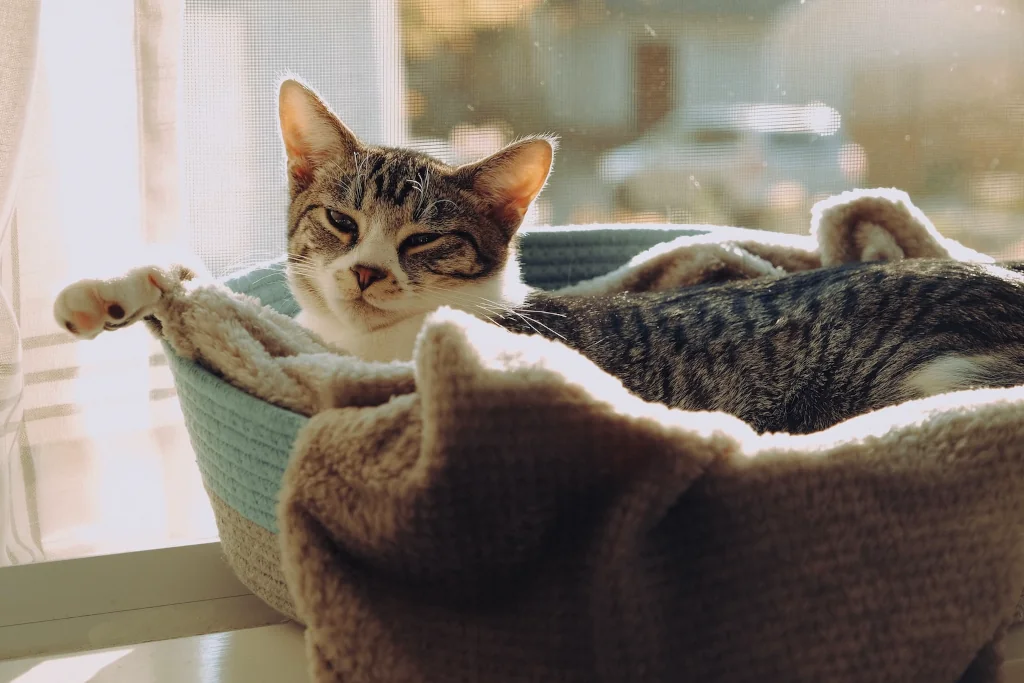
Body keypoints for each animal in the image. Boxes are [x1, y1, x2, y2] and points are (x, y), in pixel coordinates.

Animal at [54, 78, 1024, 432]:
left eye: (425, 239)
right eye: (338, 221)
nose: (367, 271)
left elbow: (274, 336)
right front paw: (108, 292)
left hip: (935, 378)